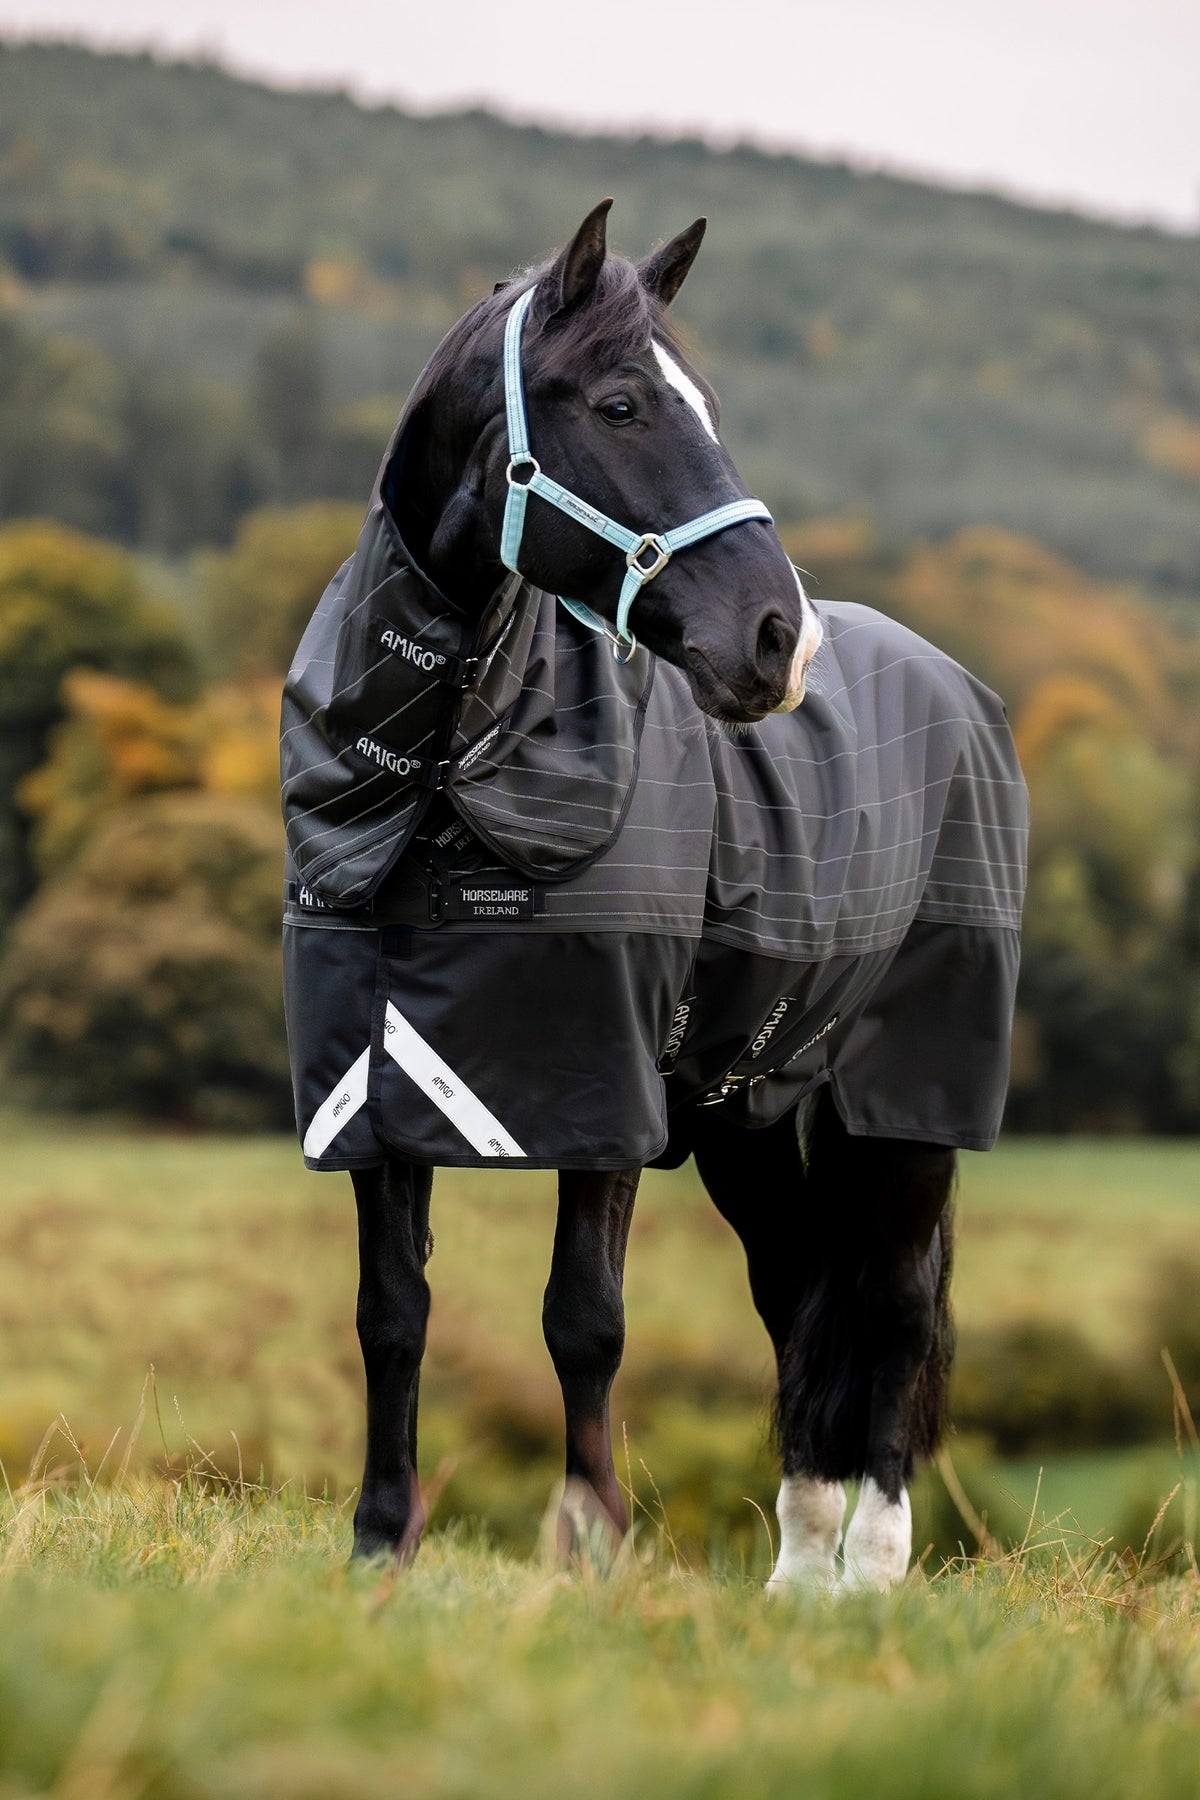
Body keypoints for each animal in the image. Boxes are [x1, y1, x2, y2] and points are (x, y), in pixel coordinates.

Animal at [280, 201, 1027, 1590]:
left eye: (709, 405)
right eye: (622, 404)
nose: (779, 640)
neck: (450, 774)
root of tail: (958, 687)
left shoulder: (605, 1089)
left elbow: (585, 1319)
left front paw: (592, 1553)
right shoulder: (374, 1080)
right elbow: (391, 1313)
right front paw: (378, 1549)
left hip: (908, 1100)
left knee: (890, 1305)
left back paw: (873, 1570)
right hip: (746, 1112)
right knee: (800, 1295)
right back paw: (799, 1578)